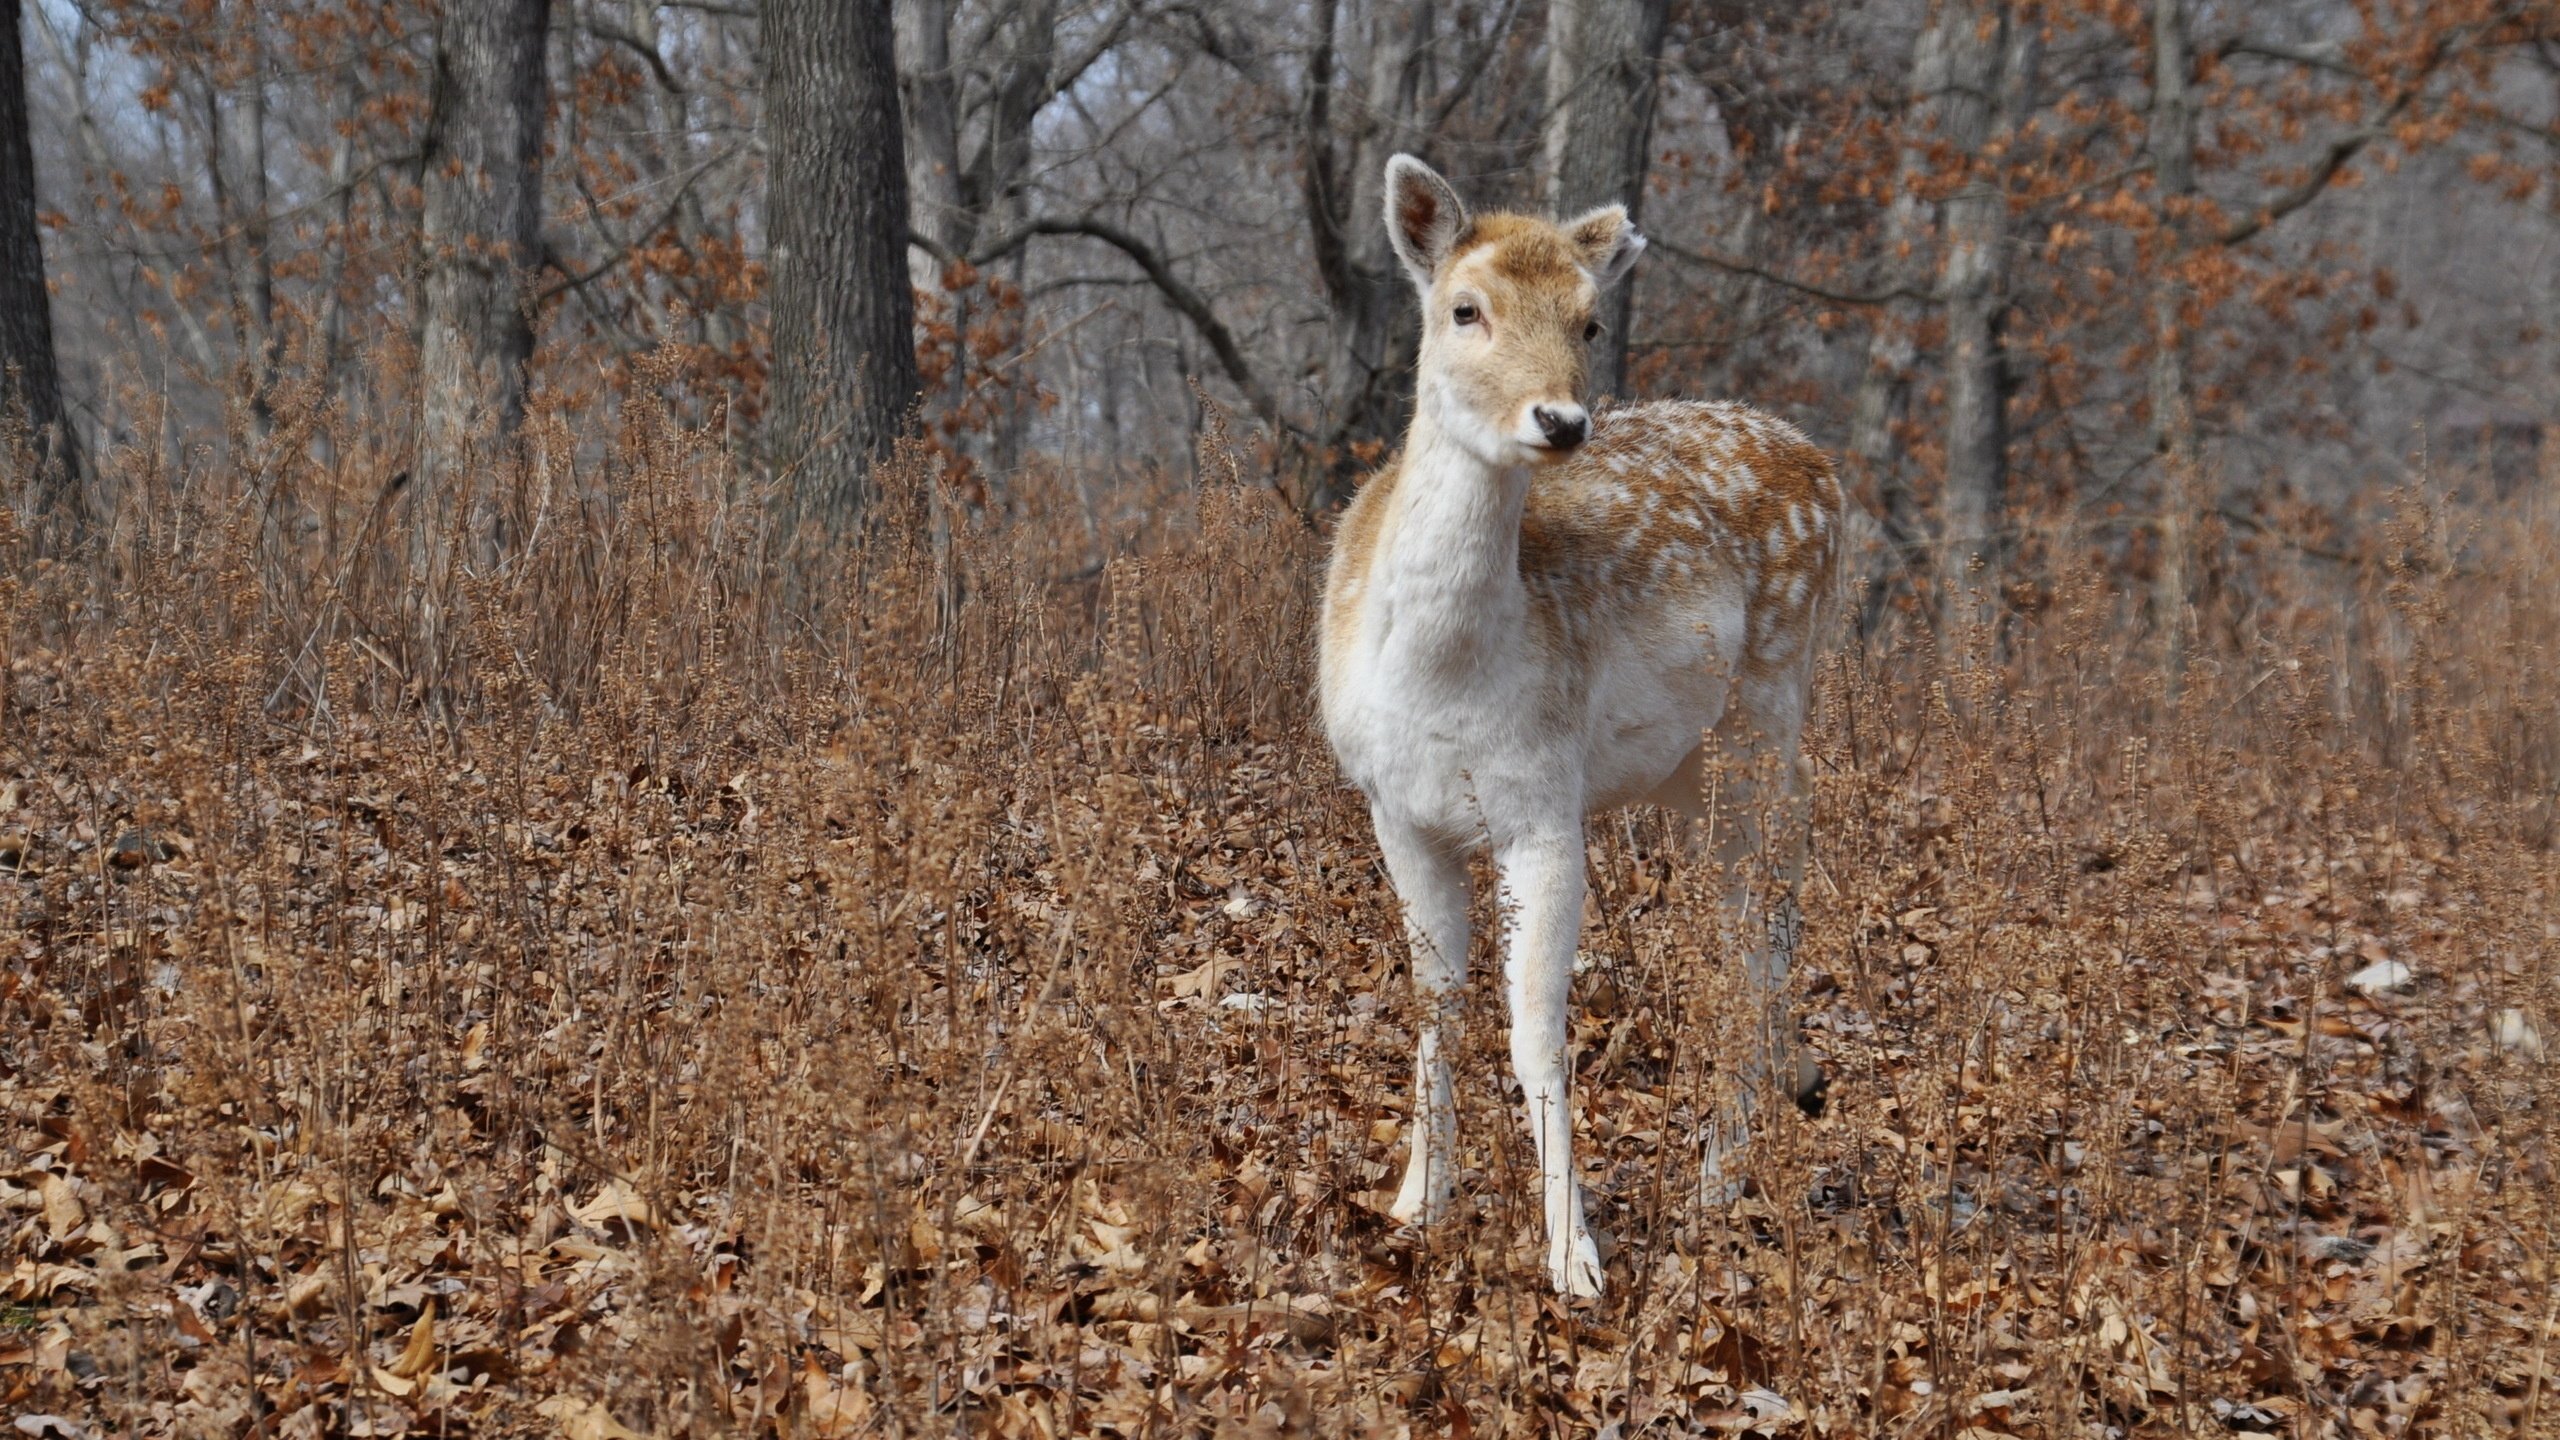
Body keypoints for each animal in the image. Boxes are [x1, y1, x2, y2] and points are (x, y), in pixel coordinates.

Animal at [1320, 154, 1843, 1291]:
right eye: (1464, 308)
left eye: (1590, 319)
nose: (1560, 421)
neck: (1443, 681)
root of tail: (1822, 462)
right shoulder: (1396, 811)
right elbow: (1433, 1001)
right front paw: (1416, 1202)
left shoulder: (1543, 808)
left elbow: (1533, 1034)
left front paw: (1574, 1259)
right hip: (1687, 771)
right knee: (1763, 916)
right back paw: (1784, 1098)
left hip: (1769, 711)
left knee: (1756, 928)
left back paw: (1720, 1179)